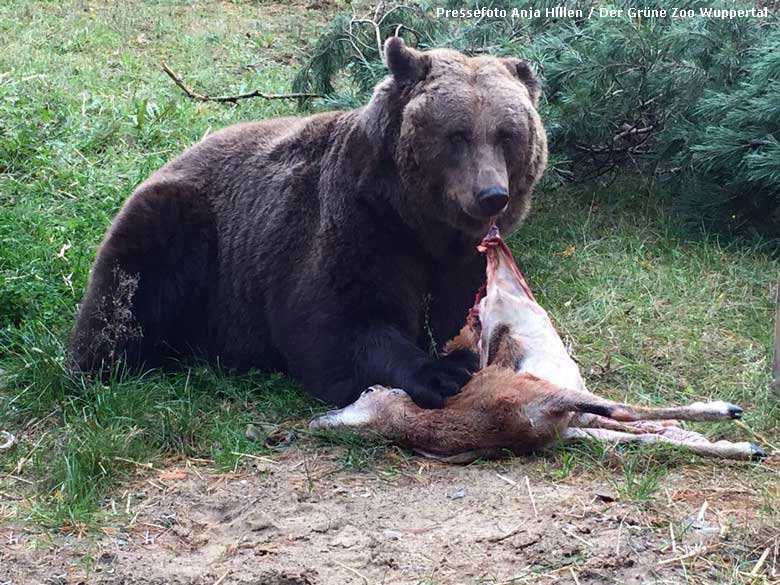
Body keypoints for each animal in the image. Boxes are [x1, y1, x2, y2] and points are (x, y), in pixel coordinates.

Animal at [71, 38, 548, 408]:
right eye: (457, 135)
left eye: (507, 135)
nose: (491, 195)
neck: (417, 221)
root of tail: (170, 159)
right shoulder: (354, 226)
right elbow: (334, 325)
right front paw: (442, 371)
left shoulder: (460, 259)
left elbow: (459, 307)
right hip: (185, 233)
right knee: (126, 301)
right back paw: (115, 362)